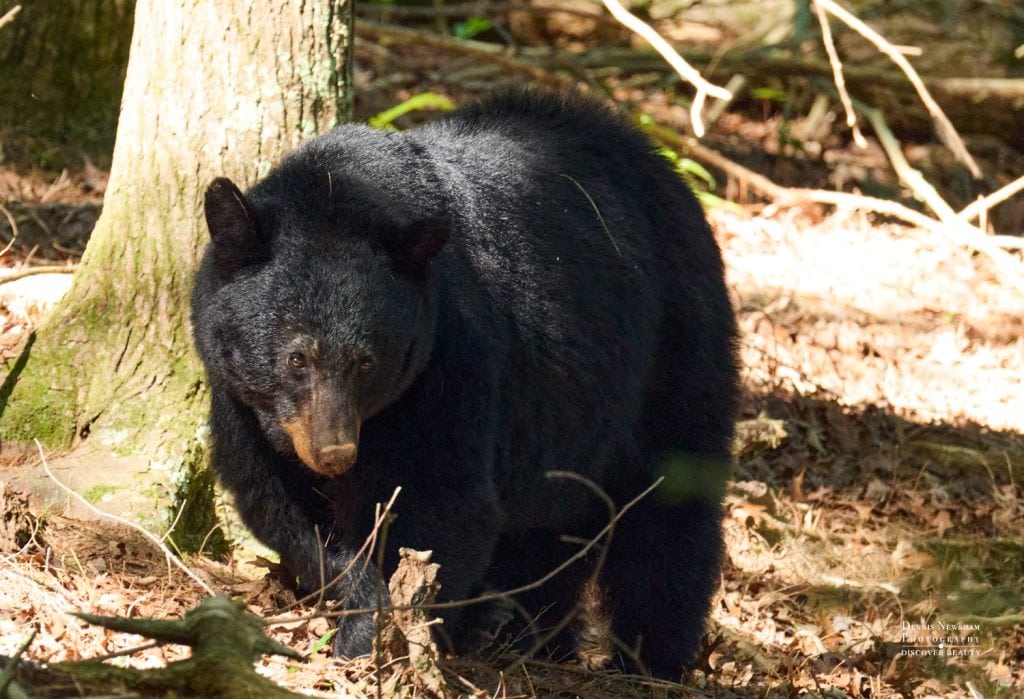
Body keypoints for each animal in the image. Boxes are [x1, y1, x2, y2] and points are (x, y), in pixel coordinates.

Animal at [191, 89, 739, 679]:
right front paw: (360, 609)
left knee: (669, 509)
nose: (333, 454)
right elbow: (284, 508)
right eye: (296, 357)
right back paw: (529, 635)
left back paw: (648, 658)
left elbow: (442, 503)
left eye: (367, 362)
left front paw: (375, 643)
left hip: (676, 344)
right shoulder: (240, 403)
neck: (341, 192)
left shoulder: (451, 357)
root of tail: (655, 159)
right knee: (550, 529)